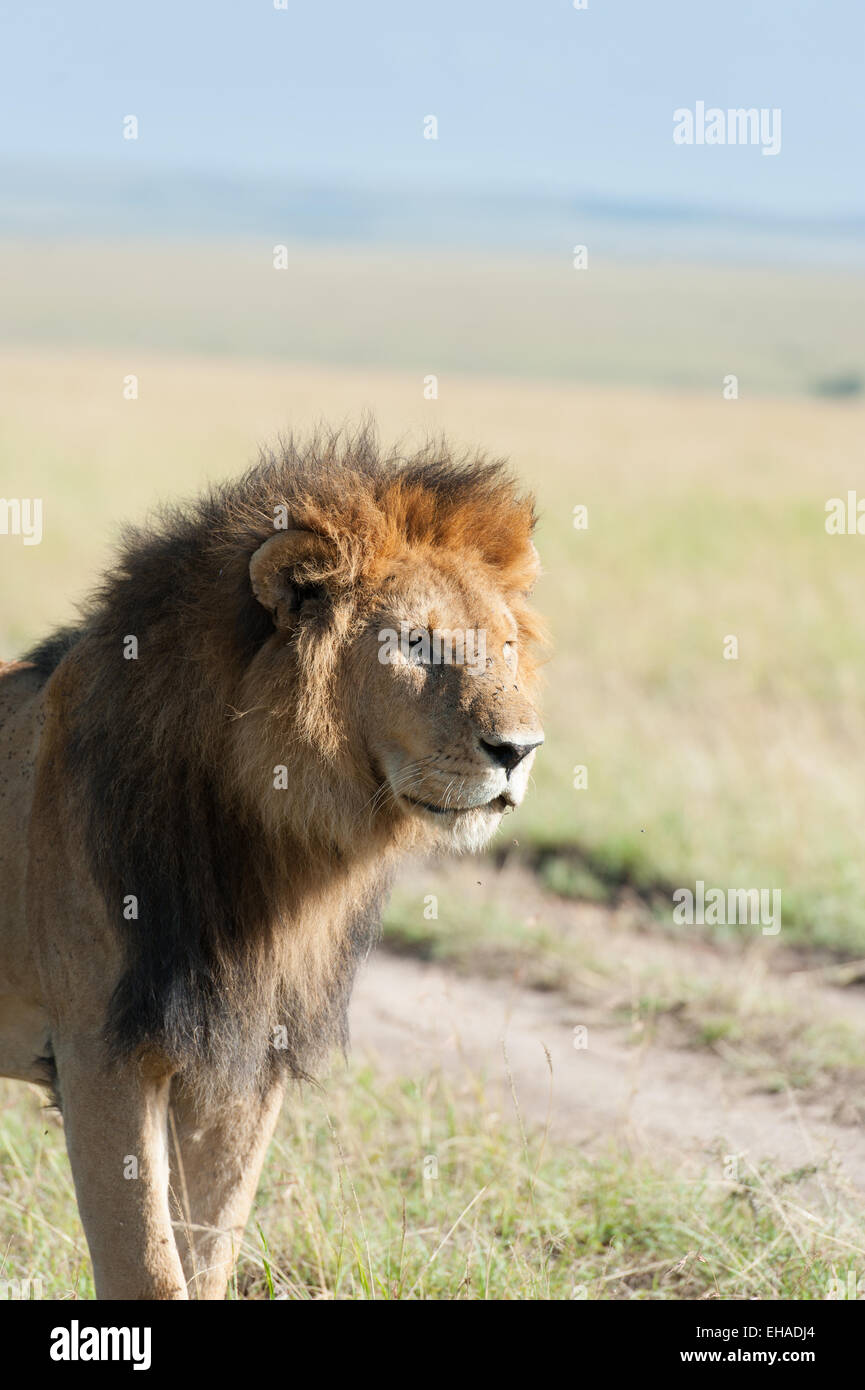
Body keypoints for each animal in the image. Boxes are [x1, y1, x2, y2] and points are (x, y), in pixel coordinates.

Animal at [0, 428, 542, 1295]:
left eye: (507, 645)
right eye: (414, 643)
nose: (520, 750)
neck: (275, 850)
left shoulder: (246, 1058)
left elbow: (207, 1248)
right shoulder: (101, 1053)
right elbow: (147, 1266)